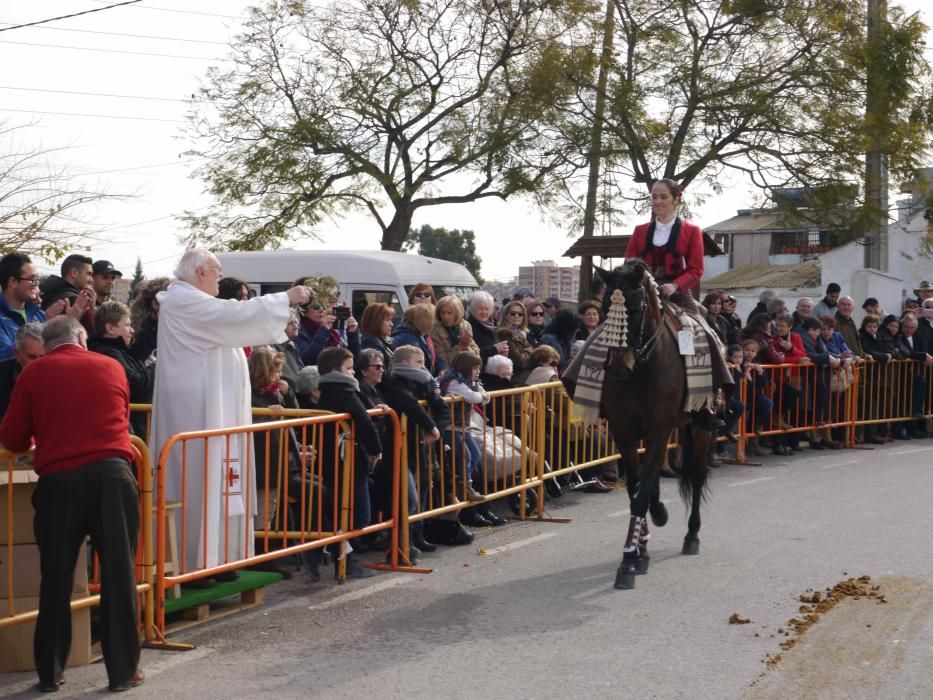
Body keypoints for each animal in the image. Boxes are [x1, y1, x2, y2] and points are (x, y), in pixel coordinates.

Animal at [592, 260, 708, 588]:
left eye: (637, 308)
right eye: (605, 308)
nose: (619, 368)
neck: (642, 369)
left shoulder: (659, 430)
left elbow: (641, 494)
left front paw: (629, 560)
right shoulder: (626, 433)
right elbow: (636, 488)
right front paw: (637, 551)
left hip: (699, 427)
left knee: (697, 475)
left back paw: (692, 535)